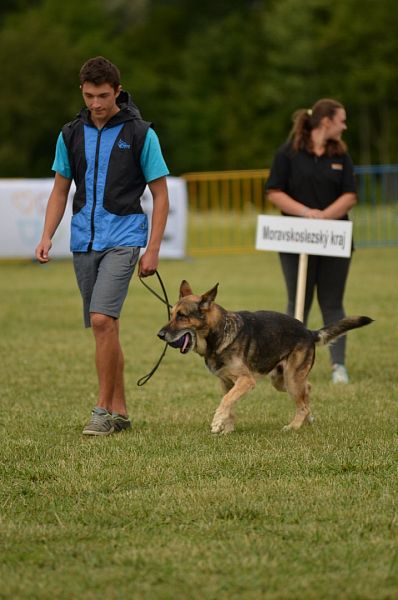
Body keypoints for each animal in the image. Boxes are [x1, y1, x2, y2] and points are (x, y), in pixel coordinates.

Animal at [157, 278, 372, 434]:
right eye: (171, 314)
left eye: (182, 316)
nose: (160, 335)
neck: (219, 333)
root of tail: (309, 332)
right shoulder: (226, 382)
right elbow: (230, 403)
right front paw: (227, 429)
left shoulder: (246, 381)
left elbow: (226, 401)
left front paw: (217, 421)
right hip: (281, 380)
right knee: (307, 390)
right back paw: (307, 419)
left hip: (291, 380)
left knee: (302, 403)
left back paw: (293, 426)